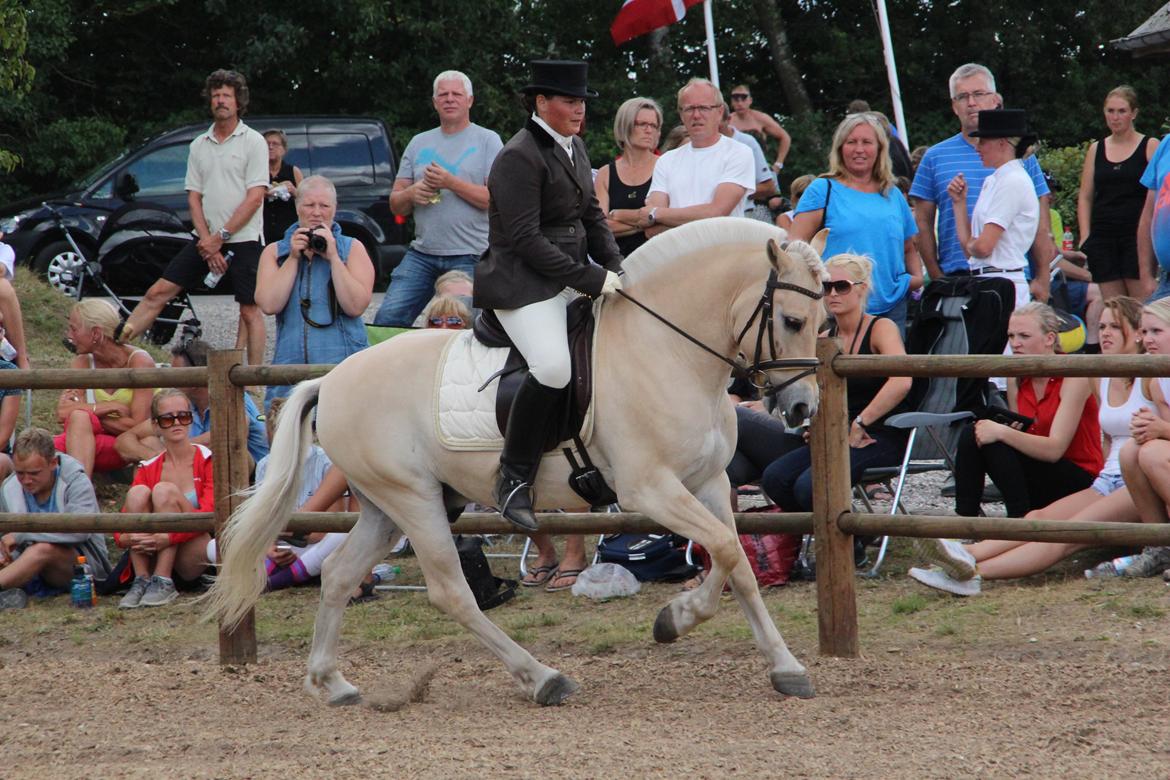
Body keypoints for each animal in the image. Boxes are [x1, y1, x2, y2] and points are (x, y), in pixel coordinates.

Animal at [210, 218, 833, 706]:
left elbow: (738, 563)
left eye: (826, 323)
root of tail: (333, 379)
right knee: (451, 591)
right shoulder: (650, 489)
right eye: (793, 321)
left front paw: (785, 668)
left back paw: (332, 682)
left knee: (340, 574)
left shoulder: (706, 484)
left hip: (386, 507)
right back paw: (542, 677)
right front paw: (673, 621)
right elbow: (726, 551)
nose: (803, 408)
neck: (665, 348)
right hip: (413, 501)